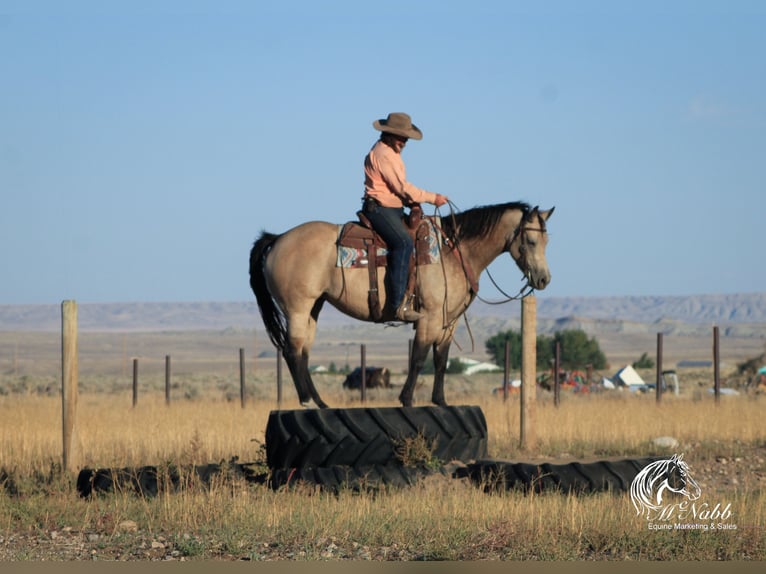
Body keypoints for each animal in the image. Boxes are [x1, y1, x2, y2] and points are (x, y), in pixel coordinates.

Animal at [249, 202, 556, 410]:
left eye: (546, 240)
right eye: (530, 241)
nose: (543, 279)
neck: (453, 252)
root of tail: (278, 239)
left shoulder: (448, 322)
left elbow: (441, 360)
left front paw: (440, 401)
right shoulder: (429, 318)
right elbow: (418, 358)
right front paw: (407, 399)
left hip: (314, 308)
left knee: (303, 353)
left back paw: (320, 402)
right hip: (297, 308)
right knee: (292, 352)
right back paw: (307, 401)